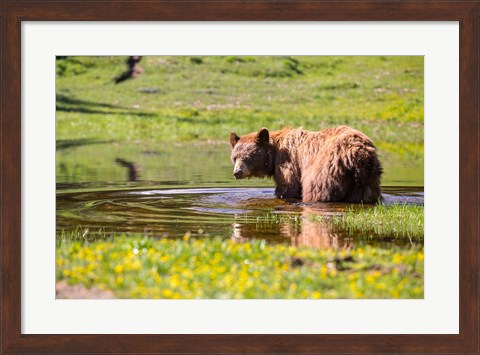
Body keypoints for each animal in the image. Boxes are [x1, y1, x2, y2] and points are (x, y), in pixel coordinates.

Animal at [229, 126, 382, 203]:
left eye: (247, 157)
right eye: (235, 157)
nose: (237, 172)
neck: (275, 150)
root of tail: (357, 152)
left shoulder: (287, 160)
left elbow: (288, 184)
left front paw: (283, 195)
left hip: (327, 167)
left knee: (318, 189)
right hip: (367, 176)